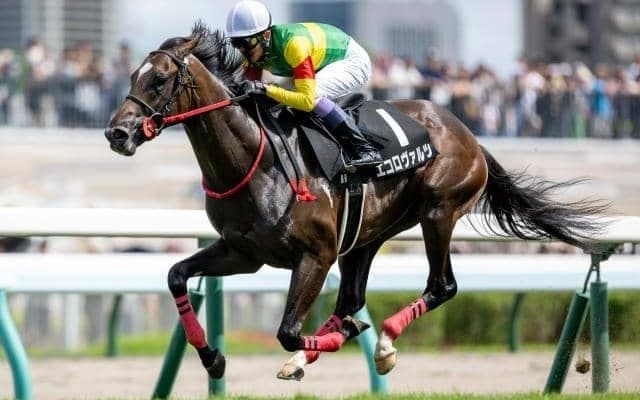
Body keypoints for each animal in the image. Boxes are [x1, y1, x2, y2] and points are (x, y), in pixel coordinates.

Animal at [104, 24, 606, 380]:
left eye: (160, 80)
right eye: (132, 76)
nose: (117, 132)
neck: (256, 160)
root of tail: (469, 134)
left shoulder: (315, 255)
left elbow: (288, 331)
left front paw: (345, 337)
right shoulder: (242, 253)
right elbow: (176, 275)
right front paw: (212, 358)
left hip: (438, 212)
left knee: (441, 286)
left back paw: (382, 343)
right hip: (366, 236)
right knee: (351, 297)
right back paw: (327, 351)